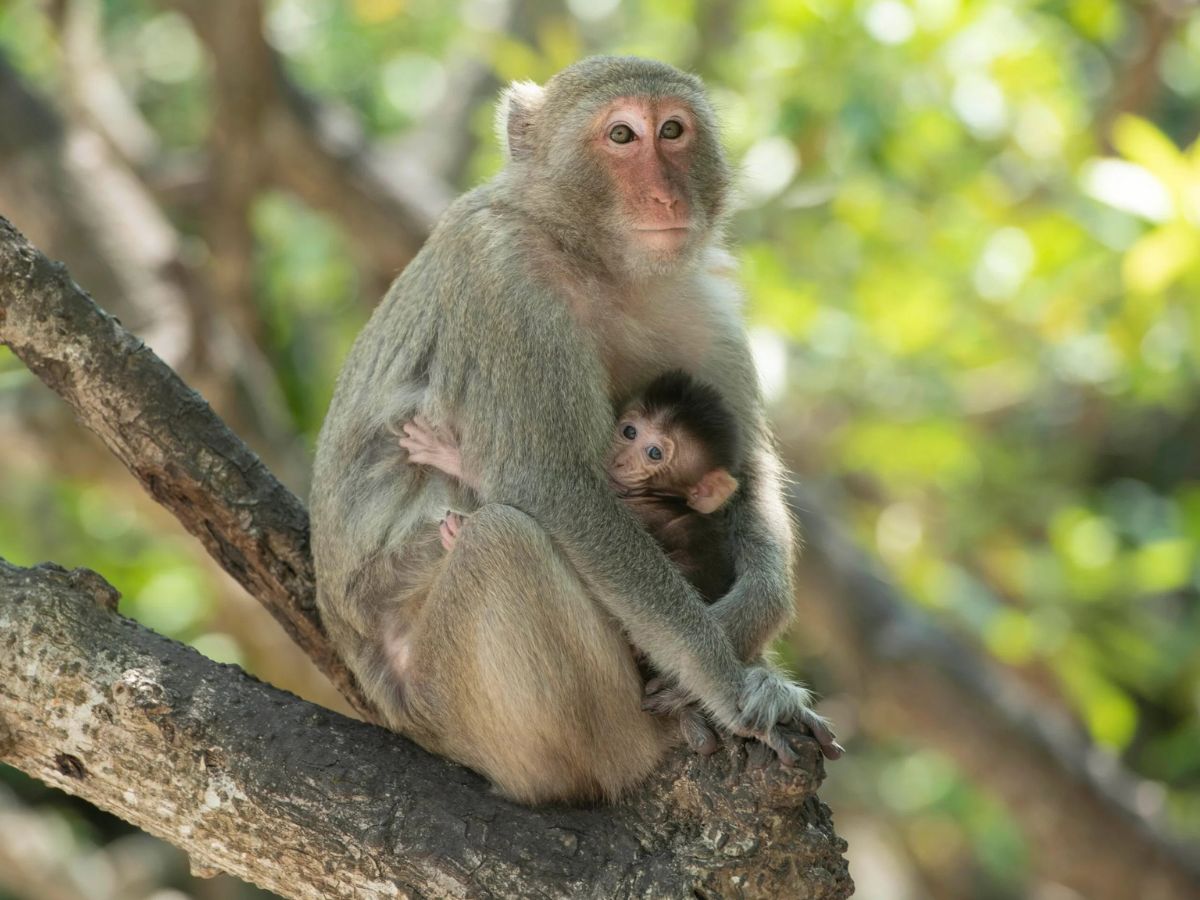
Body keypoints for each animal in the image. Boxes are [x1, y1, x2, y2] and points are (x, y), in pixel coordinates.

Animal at [310, 56, 841, 806]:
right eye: (622, 135)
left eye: (672, 131)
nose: (667, 197)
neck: (595, 259)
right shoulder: (502, 278)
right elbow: (556, 486)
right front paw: (726, 685)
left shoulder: (698, 299)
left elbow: (746, 477)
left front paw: (746, 625)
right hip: (461, 715)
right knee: (503, 542)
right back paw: (646, 740)